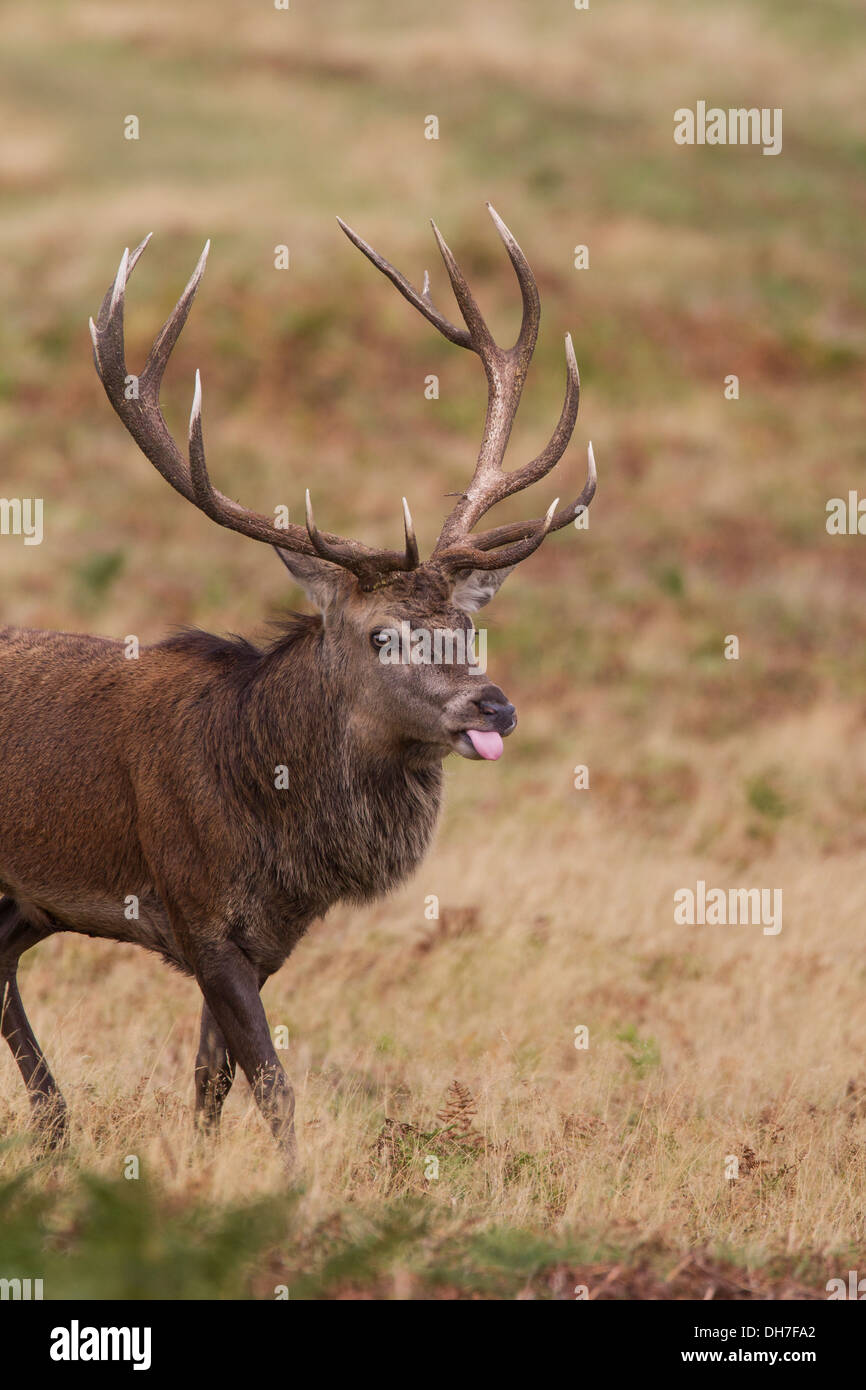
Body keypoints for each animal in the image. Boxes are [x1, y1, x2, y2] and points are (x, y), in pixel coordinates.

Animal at [0, 205, 595, 1167]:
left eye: (468, 625)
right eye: (380, 632)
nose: (494, 705)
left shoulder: (266, 938)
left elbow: (212, 1083)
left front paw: (202, 1169)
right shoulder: (198, 912)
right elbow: (274, 1086)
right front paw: (291, 1184)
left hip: (30, 898)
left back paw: (55, 1124)